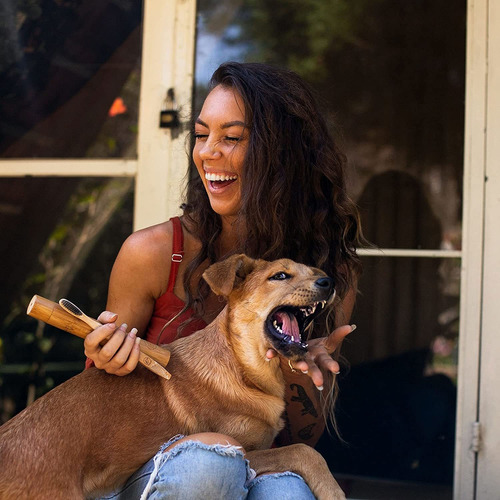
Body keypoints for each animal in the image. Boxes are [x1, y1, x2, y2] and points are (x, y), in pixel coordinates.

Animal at [0, 256, 344, 498]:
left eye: (314, 271)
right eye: (280, 276)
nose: (328, 282)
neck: (241, 367)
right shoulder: (246, 451)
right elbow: (304, 451)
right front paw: (333, 491)